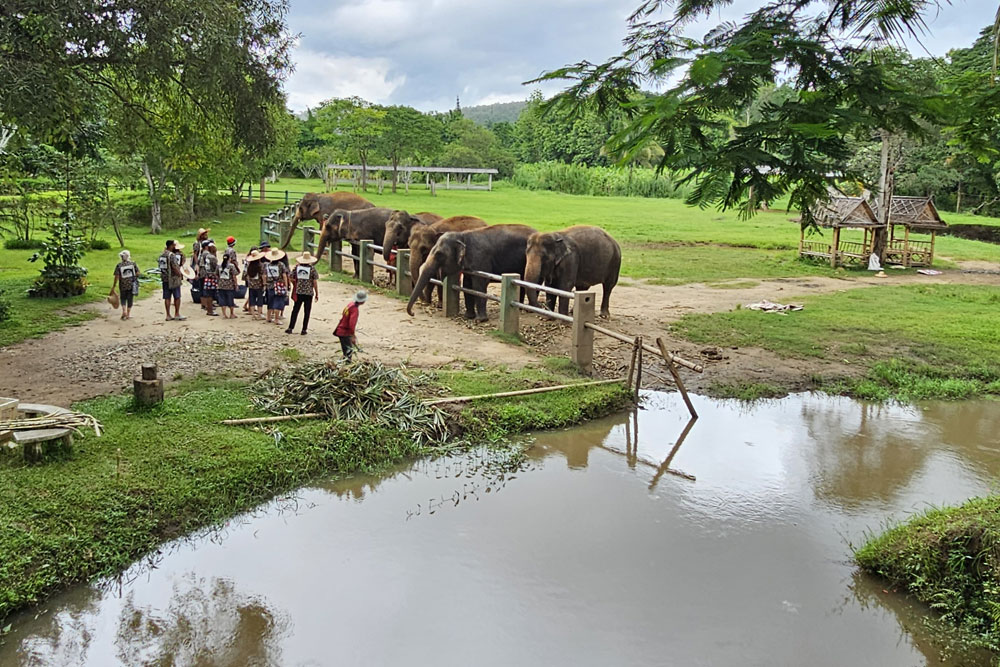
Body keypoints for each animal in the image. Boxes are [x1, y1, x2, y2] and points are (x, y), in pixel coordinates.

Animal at [407, 224, 537, 322]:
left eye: (439, 254)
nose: (412, 313)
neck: (462, 235)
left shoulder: (480, 258)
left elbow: (478, 286)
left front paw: (480, 320)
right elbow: (467, 285)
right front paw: (468, 316)